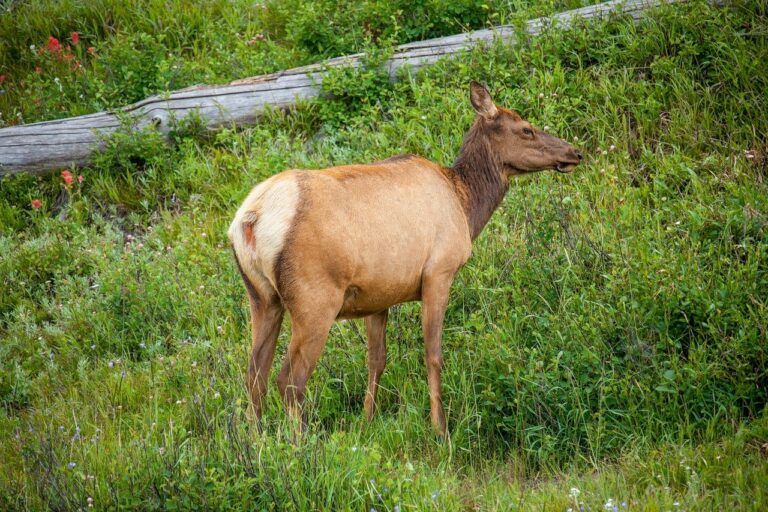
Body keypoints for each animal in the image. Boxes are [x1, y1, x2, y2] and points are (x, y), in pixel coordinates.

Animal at [228, 82, 584, 434]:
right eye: (526, 129)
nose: (574, 152)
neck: (466, 203)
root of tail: (251, 218)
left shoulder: (378, 296)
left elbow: (377, 359)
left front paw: (367, 421)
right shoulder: (439, 272)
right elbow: (433, 355)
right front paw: (440, 428)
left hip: (262, 298)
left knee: (254, 376)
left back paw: (256, 440)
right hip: (314, 300)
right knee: (289, 380)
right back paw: (299, 442)